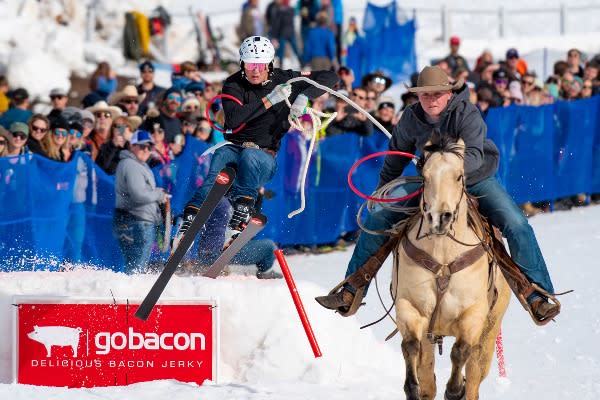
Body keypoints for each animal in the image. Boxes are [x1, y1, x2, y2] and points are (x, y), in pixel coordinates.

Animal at [394, 134, 510, 400]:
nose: (440, 217)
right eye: (425, 177)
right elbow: (410, 346)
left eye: (459, 176)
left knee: (475, 374)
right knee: (428, 376)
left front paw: (455, 389)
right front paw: (410, 387)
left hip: (490, 332)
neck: (444, 256)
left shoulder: (474, 314)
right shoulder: (409, 306)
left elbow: (461, 351)